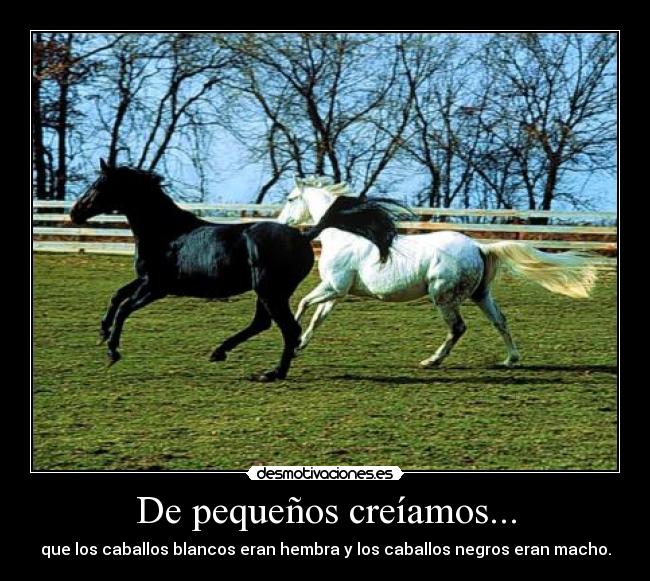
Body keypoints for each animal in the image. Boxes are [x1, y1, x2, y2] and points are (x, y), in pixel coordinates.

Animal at [69, 160, 399, 381]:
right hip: (267, 292)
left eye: (99, 185)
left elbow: (125, 307)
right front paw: (102, 333)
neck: (167, 233)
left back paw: (272, 373)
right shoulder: (145, 280)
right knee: (264, 324)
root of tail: (304, 236)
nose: (75, 213)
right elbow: (116, 297)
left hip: (270, 291)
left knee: (288, 329)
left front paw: (112, 352)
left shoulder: (157, 287)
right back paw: (221, 352)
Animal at [277, 177, 597, 368]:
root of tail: (479, 247)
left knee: (458, 328)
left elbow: (303, 303)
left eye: (291, 198)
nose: (280, 223)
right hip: (481, 296)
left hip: (443, 296)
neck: (344, 235)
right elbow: (317, 317)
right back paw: (510, 360)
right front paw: (300, 345)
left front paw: (294, 341)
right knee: (501, 321)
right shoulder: (337, 291)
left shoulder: (333, 286)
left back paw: (431, 360)